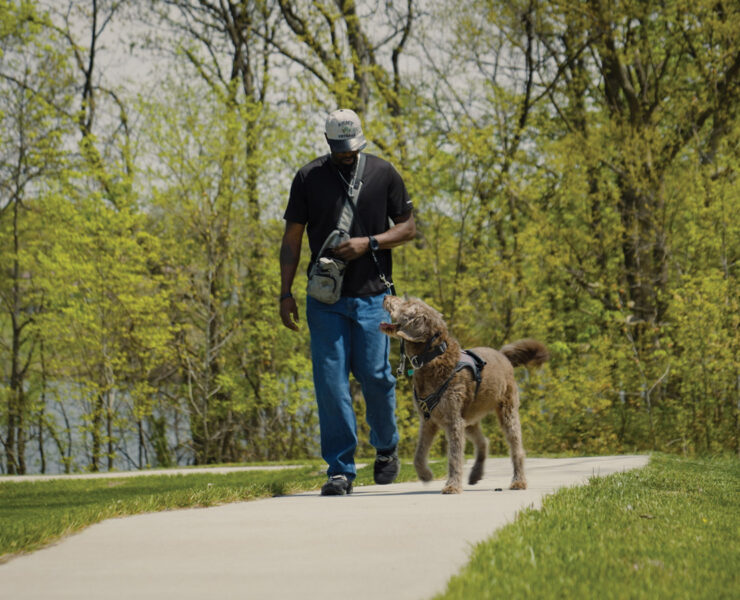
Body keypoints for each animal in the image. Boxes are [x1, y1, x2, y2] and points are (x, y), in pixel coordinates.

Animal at [382, 294, 548, 492]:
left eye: (407, 303)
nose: (386, 296)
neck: (432, 358)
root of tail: (503, 356)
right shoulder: (428, 420)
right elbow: (419, 454)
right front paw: (426, 475)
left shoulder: (453, 420)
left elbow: (454, 456)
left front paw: (452, 486)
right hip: (469, 418)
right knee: (483, 442)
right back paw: (476, 474)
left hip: (507, 412)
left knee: (517, 449)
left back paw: (518, 481)